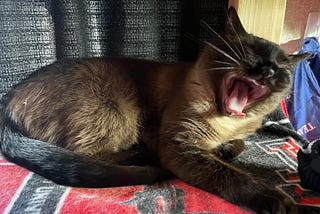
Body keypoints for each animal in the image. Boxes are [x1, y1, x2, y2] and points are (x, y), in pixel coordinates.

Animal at [0, 7, 308, 214]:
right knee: (89, 155)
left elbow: (239, 145)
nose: (267, 70)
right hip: (114, 112)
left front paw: (224, 149)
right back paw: (146, 155)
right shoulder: (180, 146)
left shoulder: (233, 136)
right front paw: (283, 202)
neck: (225, 121)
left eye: (280, 67)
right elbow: (234, 175)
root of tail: (8, 98)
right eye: (250, 51)